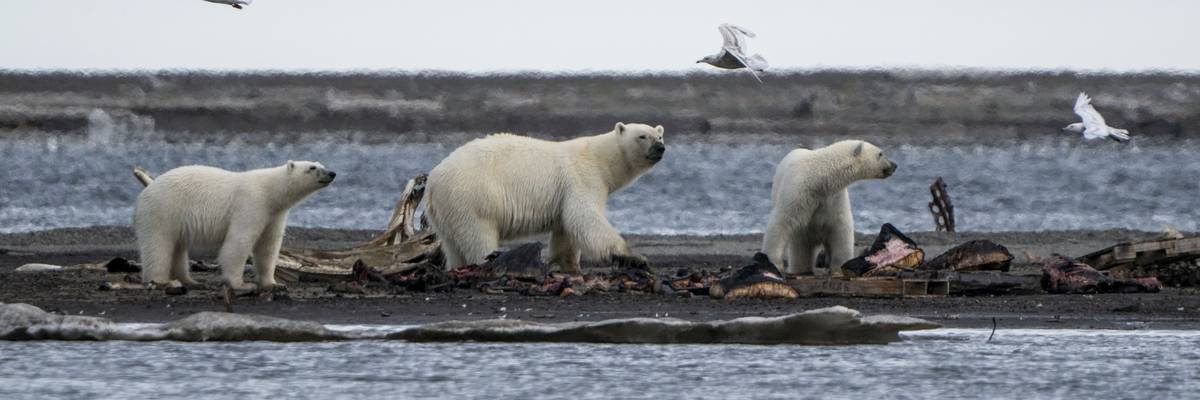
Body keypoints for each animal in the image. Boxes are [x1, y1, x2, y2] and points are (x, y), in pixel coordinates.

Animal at [134, 161, 336, 290]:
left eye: (321, 163)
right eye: (312, 167)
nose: (332, 173)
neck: (270, 191)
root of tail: (149, 185)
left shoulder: (274, 215)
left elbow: (268, 246)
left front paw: (274, 284)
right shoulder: (251, 204)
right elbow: (239, 242)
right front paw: (241, 284)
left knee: (178, 247)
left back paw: (190, 281)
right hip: (162, 211)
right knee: (158, 246)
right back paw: (163, 281)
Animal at [425, 122, 667, 274]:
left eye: (660, 135)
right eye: (642, 136)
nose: (660, 147)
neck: (601, 159)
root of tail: (432, 181)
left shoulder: (565, 193)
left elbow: (566, 229)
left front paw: (570, 266)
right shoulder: (582, 178)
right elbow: (584, 217)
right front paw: (635, 258)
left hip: (447, 212)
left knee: (453, 246)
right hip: (472, 198)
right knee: (479, 236)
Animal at [761, 140, 897, 276]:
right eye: (880, 153)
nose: (894, 165)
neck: (818, 180)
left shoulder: (833, 198)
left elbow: (840, 229)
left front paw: (839, 266)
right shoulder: (798, 193)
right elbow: (782, 221)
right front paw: (774, 263)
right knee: (801, 245)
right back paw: (801, 269)